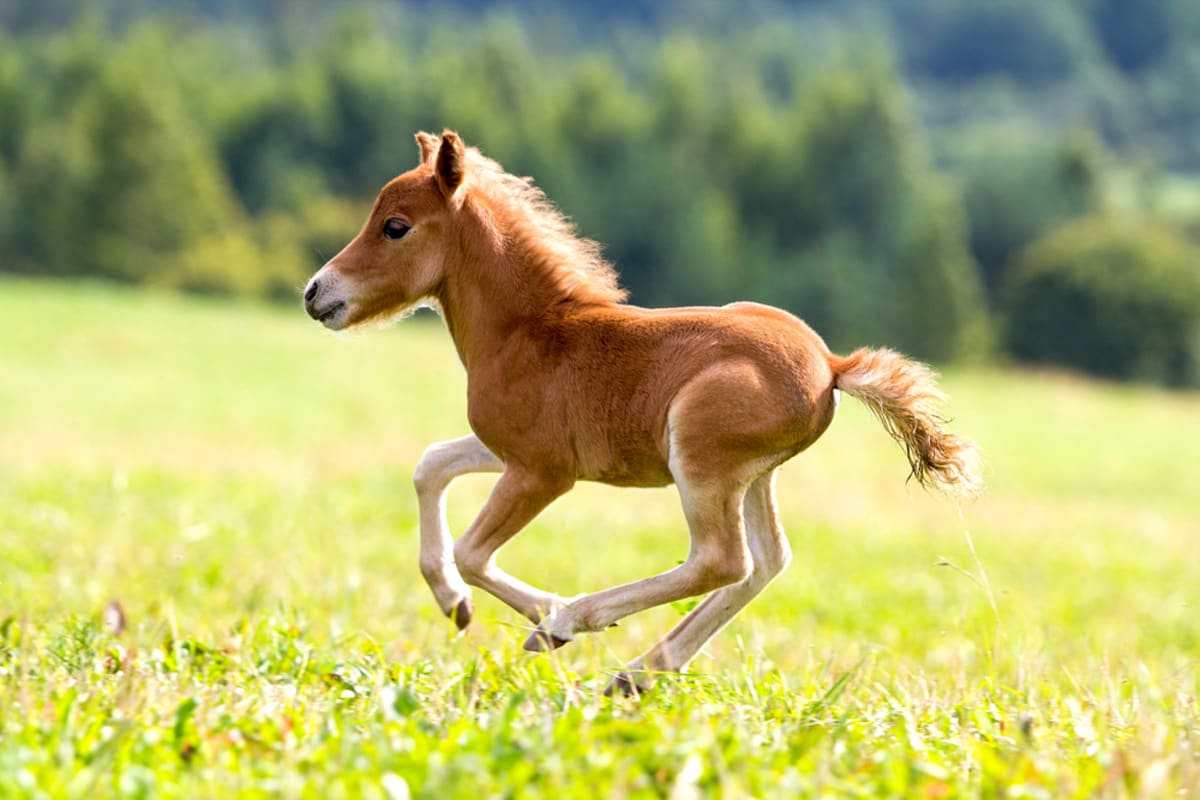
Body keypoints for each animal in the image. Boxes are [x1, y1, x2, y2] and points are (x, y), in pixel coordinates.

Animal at [303, 130, 982, 695]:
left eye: (395, 226)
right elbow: (430, 466)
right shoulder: (506, 450)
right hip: (755, 476)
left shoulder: (543, 472)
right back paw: (638, 673)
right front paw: (453, 603)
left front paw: (545, 617)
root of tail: (832, 364)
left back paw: (579, 622)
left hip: (701, 460)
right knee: (766, 563)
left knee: (721, 561)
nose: (315, 293)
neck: (529, 331)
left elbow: (473, 551)